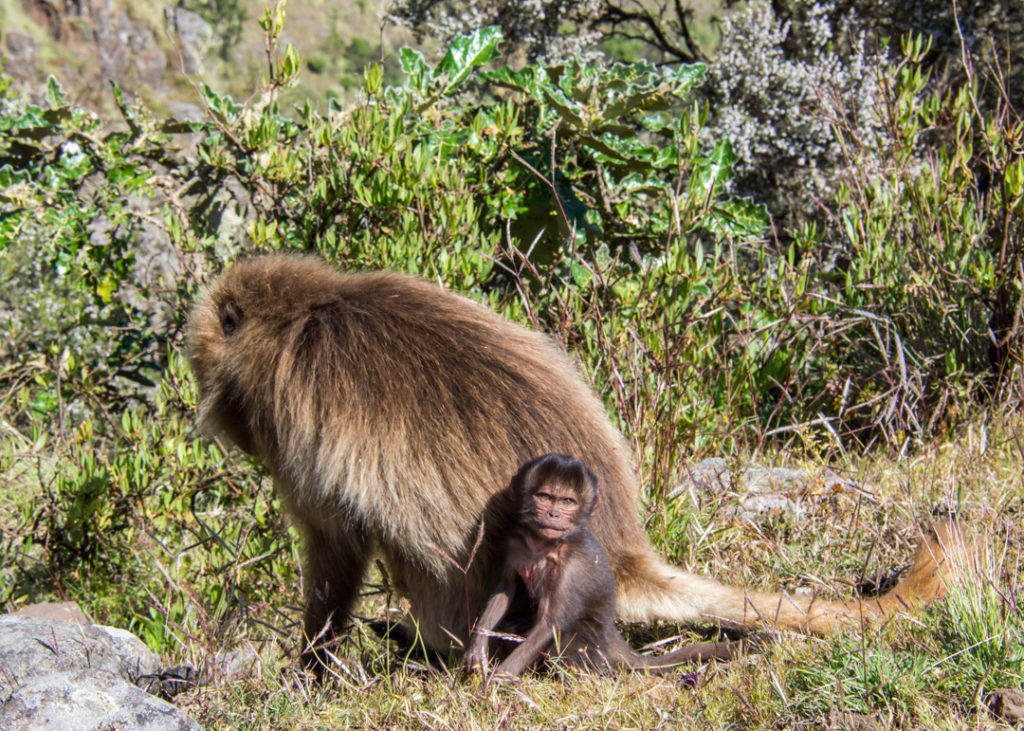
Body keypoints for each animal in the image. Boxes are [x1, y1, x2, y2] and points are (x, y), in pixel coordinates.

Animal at [464, 452, 745, 675]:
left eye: (567, 502)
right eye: (544, 496)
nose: (554, 515)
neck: (544, 545)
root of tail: (611, 636)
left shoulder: (571, 567)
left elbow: (550, 624)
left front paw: (501, 677)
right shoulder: (516, 543)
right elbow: (505, 591)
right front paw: (477, 649)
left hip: (592, 644)